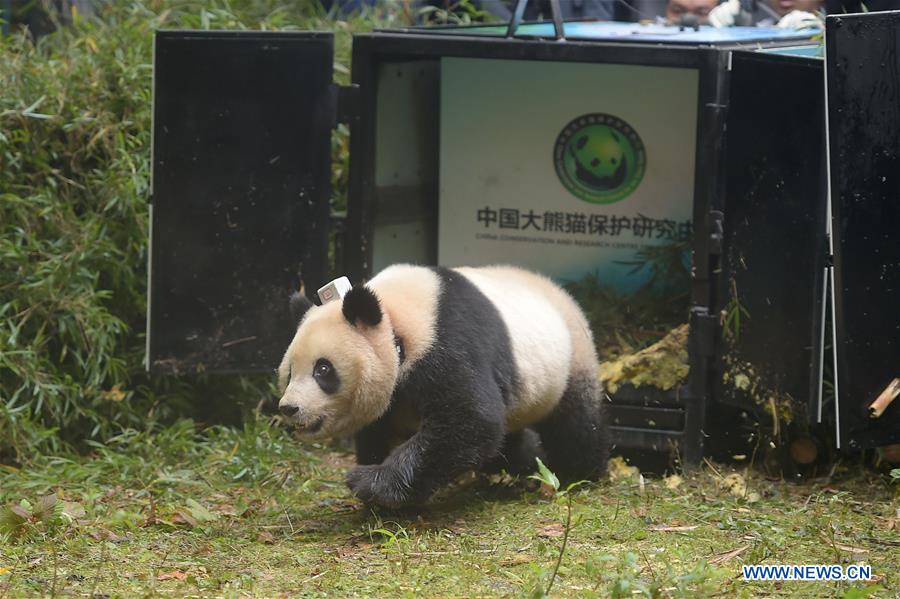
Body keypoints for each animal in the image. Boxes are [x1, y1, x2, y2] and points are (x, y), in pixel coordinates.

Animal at [277, 264, 608, 508]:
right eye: (290, 372)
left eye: (323, 369)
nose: (290, 408)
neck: (396, 316)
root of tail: (564, 295)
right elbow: (379, 432)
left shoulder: (448, 342)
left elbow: (471, 420)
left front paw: (369, 483)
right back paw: (526, 459)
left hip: (571, 358)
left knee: (575, 423)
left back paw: (578, 472)